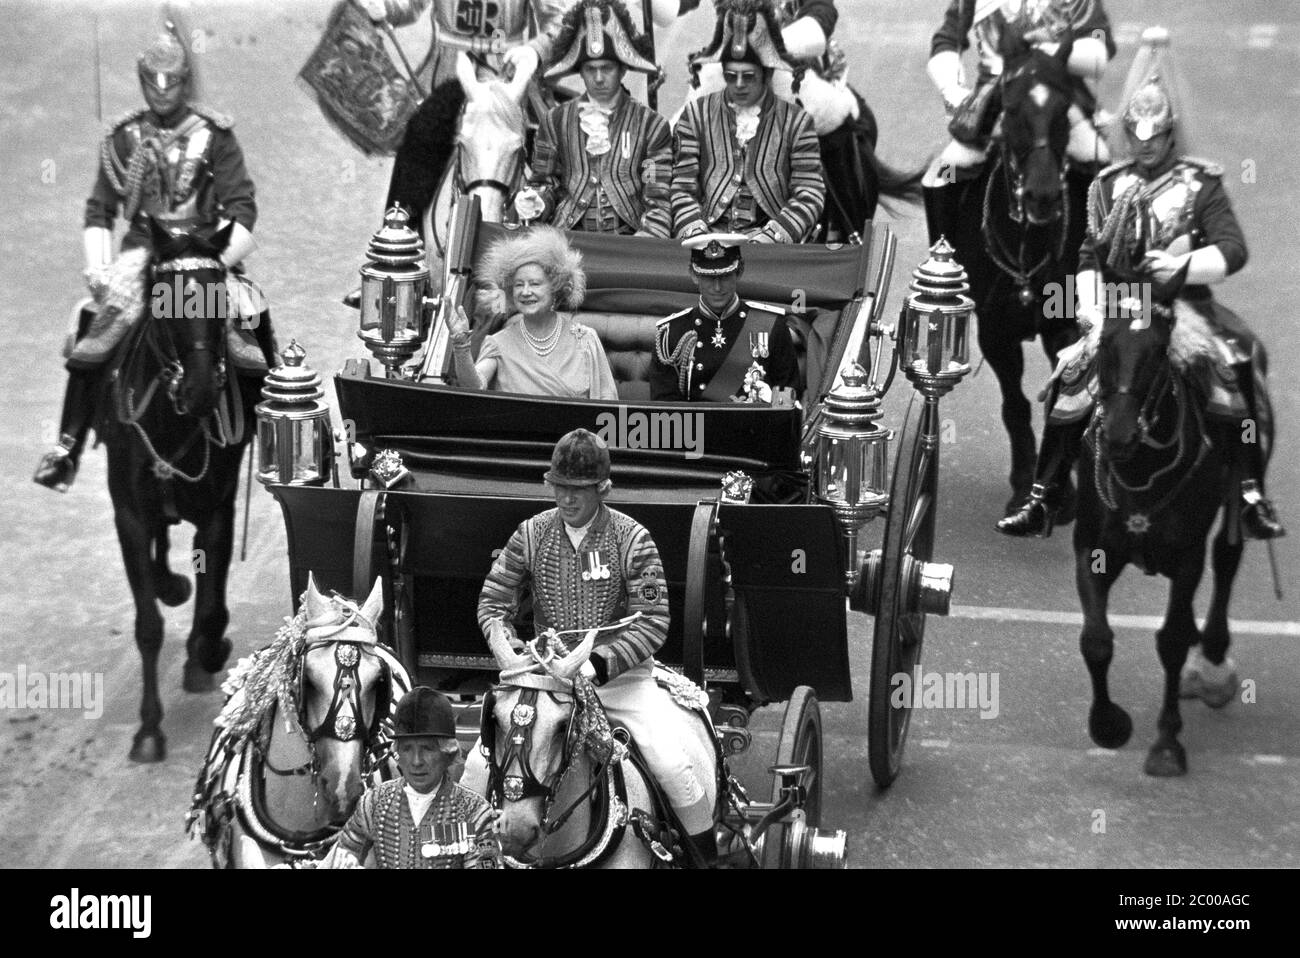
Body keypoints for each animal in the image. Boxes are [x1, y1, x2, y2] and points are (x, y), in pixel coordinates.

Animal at [103, 218, 263, 764]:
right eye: (162, 296)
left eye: (219, 295)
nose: (201, 391)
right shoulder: (129, 514)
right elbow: (147, 626)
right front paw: (148, 730)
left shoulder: (218, 510)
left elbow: (212, 607)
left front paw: (210, 650)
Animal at [930, 36, 1102, 512]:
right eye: (1009, 109)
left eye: (1063, 109)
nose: (1042, 195)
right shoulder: (995, 332)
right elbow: (1016, 406)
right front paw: (1025, 483)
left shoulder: (1062, 327)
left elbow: (1060, 398)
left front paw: (1058, 491)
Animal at [1071, 283, 1253, 779]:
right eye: (1104, 347)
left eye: (1157, 352)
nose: (1118, 434)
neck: (1141, 468)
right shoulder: (1092, 549)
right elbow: (1096, 640)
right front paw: (1107, 725)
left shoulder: (1187, 558)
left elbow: (1169, 643)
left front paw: (1167, 744)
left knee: (1226, 559)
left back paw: (1212, 663)